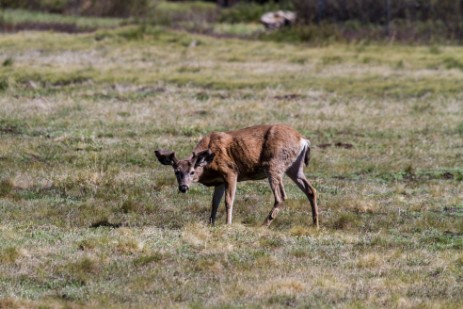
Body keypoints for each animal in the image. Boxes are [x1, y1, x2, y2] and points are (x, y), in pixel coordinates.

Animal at [156, 124, 320, 227]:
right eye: (176, 172)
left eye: (192, 171)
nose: (183, 187)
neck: (209, 165)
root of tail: (303, 140)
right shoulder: (219, 181)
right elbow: (214, 203)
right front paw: (211, 224)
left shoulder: (230, 172)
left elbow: (228, 201)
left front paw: (227, 223)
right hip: (295, 167)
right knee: (311, 190)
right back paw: (315, 224)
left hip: (274, 164)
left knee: (281, 196)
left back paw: (263, 224)